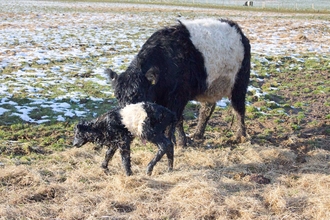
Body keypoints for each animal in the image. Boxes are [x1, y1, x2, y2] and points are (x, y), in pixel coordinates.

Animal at [105, 18, 250, 146]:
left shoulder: (179, 96)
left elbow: (177, 119)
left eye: (138, 95)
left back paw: (240, 136)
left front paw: (179, 142)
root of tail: (240, 32)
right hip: (210, 87)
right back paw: (197, 134)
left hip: (239, 84)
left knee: (239, 109)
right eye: (117, 96)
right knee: (207, 109)